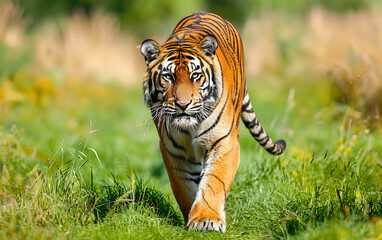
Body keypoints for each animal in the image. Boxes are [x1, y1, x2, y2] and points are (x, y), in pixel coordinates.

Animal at [139, 11, 286, 232]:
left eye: (195, 75)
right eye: (168, 77)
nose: (183, 104)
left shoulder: (224, 142)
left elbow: (214, 181)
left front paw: (206, 219)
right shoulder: (174, 151)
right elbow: (183, 186)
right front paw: (192, 217)